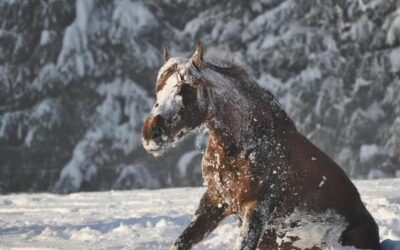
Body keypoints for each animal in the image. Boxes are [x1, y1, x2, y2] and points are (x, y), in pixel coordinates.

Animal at [142, 43, 380, 250]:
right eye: (158, 89)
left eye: (186, 88)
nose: (150, 134)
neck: (242, 147)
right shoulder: (215, 201)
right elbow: (181, 241)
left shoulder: (256, 209)